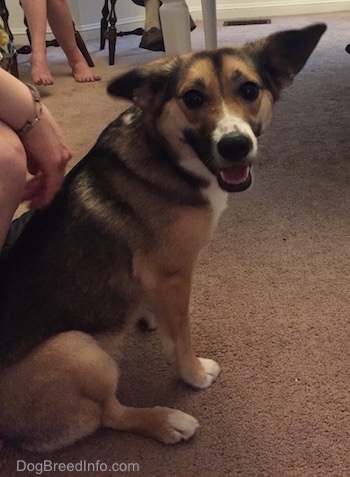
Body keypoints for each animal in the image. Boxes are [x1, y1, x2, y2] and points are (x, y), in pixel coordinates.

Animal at [0, 23, 326, 454]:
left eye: (249, 90)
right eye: (193, 98)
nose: (235, 146)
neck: (170, 155)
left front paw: (149, 316)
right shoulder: (174, 275)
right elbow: (181, 335)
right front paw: (194, 373)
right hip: (80, 352)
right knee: (109, 415)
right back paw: (168, 420)